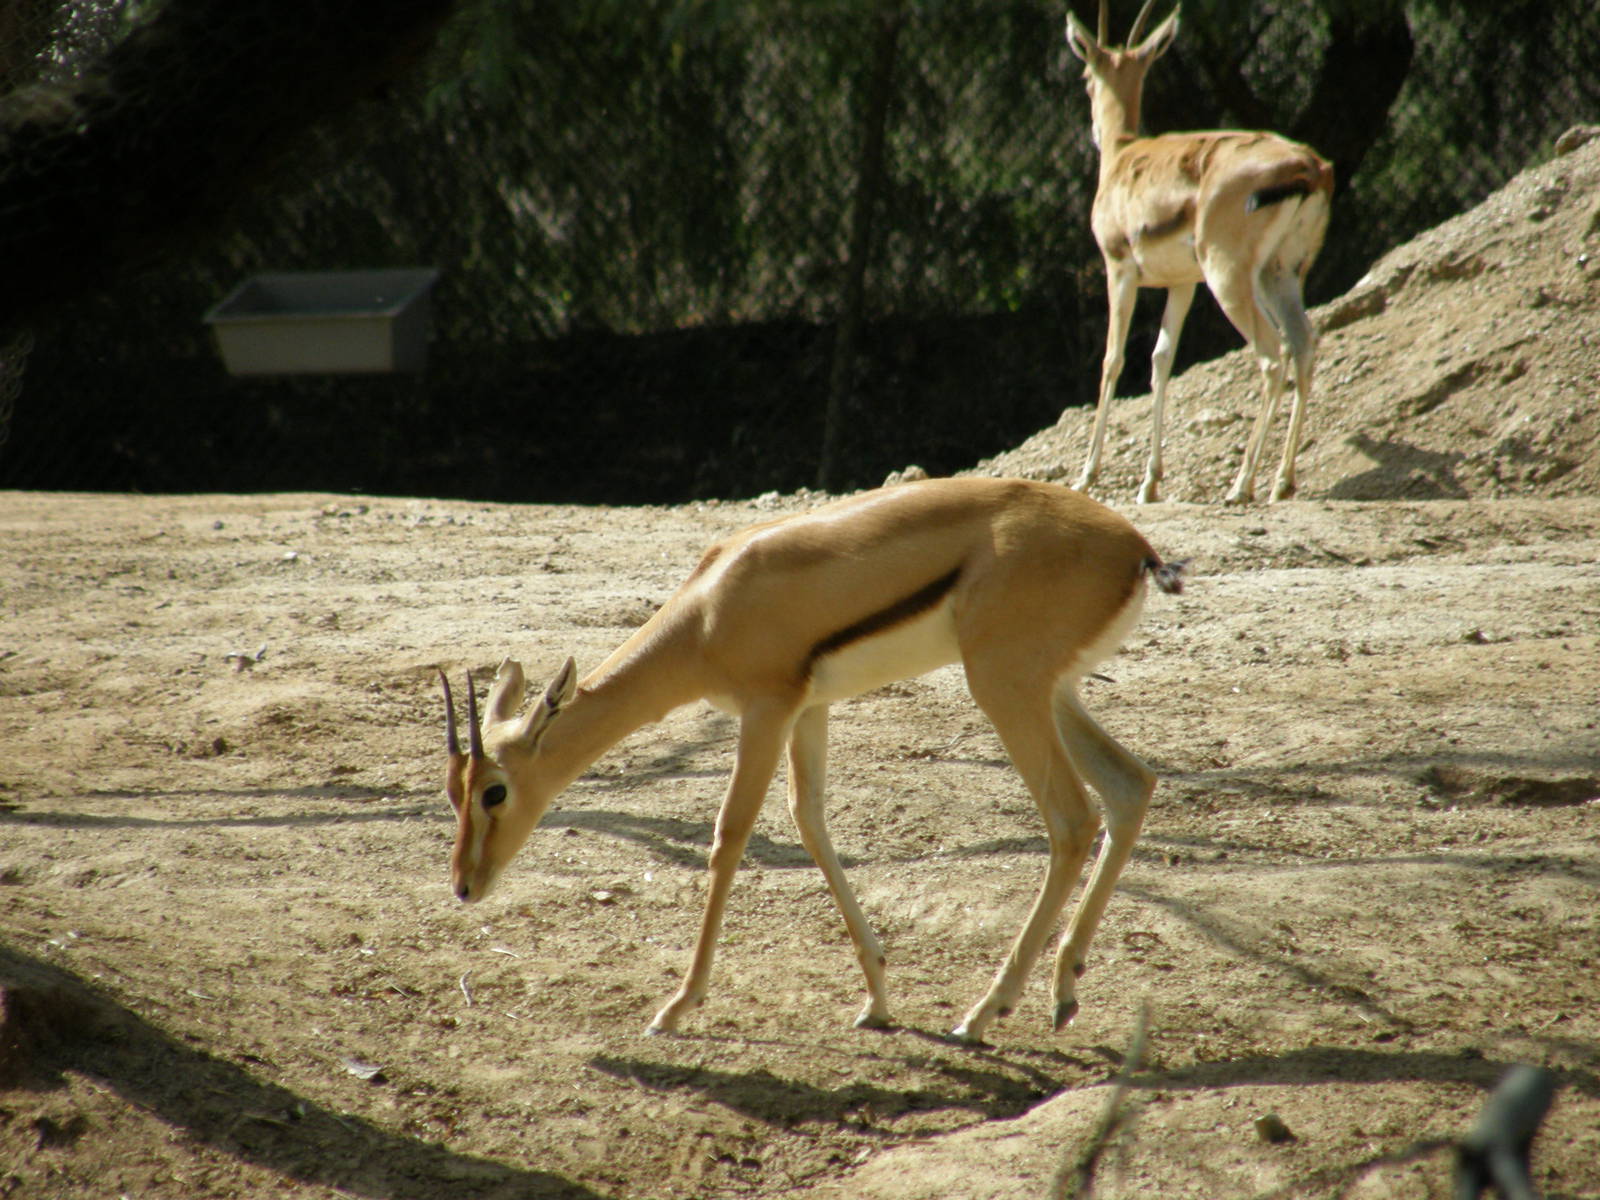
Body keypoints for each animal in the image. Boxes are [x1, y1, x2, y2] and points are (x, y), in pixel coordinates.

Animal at [437, 476, 1184, 1044]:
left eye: (495, 790)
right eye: (453, 790)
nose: (465, 886)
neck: (710, 608)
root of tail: (1136, 548)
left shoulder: (766, 710)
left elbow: (730, 837)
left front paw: (676, 1008)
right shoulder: (810, 710)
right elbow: (810, 821)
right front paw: (877, 1000)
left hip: (1005, 687)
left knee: (1073, 820)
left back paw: (983, 1014)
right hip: (1053, 691)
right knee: (1131, 786)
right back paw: (1063, 991)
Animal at [1065, 1, 1334, 504]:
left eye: (1087, 76)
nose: (1091, 130)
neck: (1123, 157)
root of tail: (1311, 167)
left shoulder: (1119, 270)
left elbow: (1113, 360)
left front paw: (1086, 476)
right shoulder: (1182, 284)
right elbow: (1161, 361)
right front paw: (1149, 482)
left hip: (1228, 280)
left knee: (1273, 355)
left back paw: (1241, 485)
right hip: (1278, 275)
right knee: (1304, 344)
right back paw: (1281, 483)